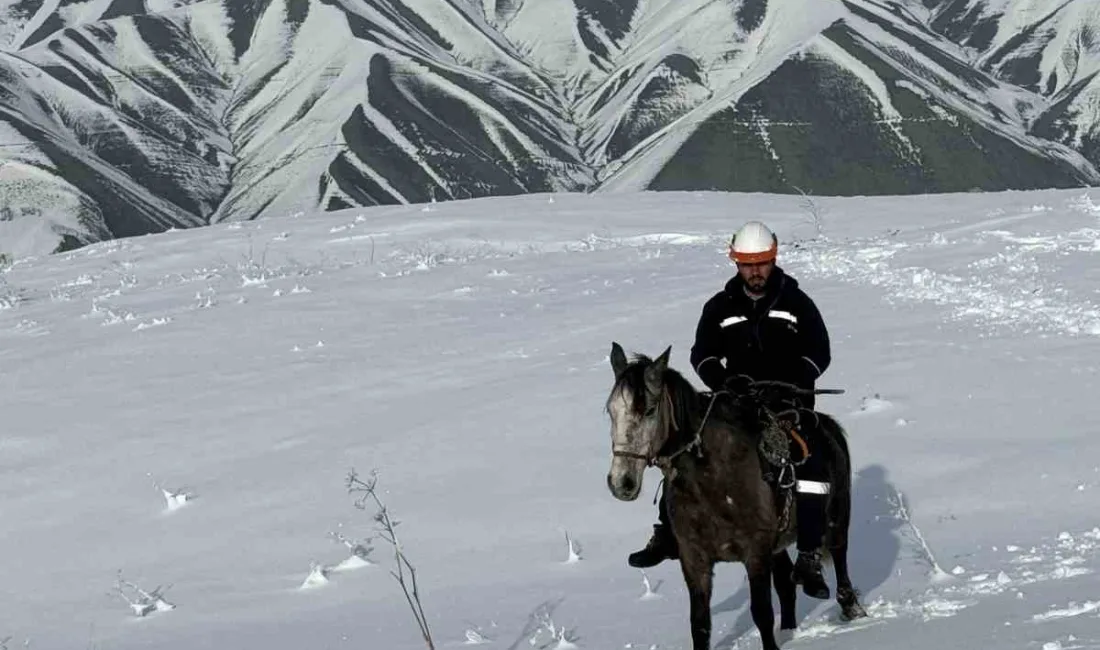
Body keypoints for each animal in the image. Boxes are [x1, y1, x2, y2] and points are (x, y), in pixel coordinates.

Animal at [607, 343, 862, 646]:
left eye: (648, 410)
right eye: (610, 411)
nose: (621, 482)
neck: (713, 482)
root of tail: (830, 427)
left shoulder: (755, 553)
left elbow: (762, 614)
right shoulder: (695, 559)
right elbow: (700, 624)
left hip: (837, 516)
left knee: (839, 555)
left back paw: (848, 605)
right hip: (777, 546)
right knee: (786, 584)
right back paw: (789, 630)